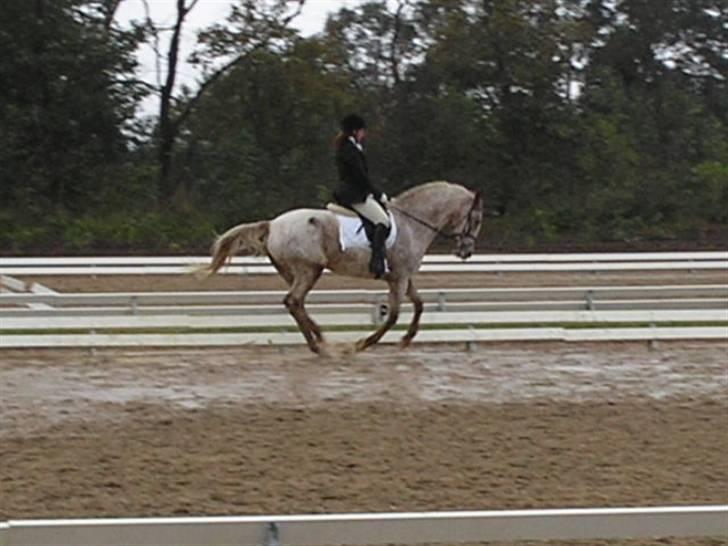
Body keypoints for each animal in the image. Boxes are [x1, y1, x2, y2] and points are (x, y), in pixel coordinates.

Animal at [199, 180, 484, 352]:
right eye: (477, 219)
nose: (466, 252)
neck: (413, 223)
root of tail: (272, 224)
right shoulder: (399, 278)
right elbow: (393, 315)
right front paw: (364, 344)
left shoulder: (402, 277)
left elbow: (420, 304)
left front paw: (406, 339)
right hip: (308, 270)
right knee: (294, 301)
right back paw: (319, 345)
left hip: (294, 272)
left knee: (296, 303)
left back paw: (319, 339)